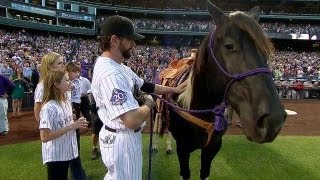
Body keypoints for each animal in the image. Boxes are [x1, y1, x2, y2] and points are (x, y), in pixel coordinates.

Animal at [168, 0, 288, 179]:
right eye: (229, 46)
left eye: (264, 50)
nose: (273, 120)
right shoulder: (182, 149)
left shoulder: (212, 148)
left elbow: (204, 172)